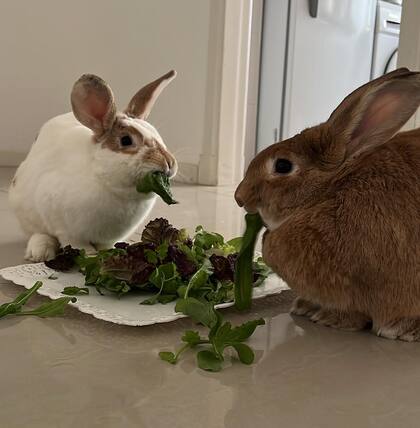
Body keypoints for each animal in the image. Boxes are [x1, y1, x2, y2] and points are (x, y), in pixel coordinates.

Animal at [9, 70, 177, 260]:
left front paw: (109, 253)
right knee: (38, 233)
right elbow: (74, 242)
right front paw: (88, 255)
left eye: (157, 134)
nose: (169, 162)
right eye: (126, 140)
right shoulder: (64, 225)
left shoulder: (109, 236)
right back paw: (40, 253)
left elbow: (106, 245)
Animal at [236, 67, 420, 342]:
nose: (240, 197)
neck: (329, 192)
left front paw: (328, 318)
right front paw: (304, 306)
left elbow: (354, 313)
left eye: (282, 165)